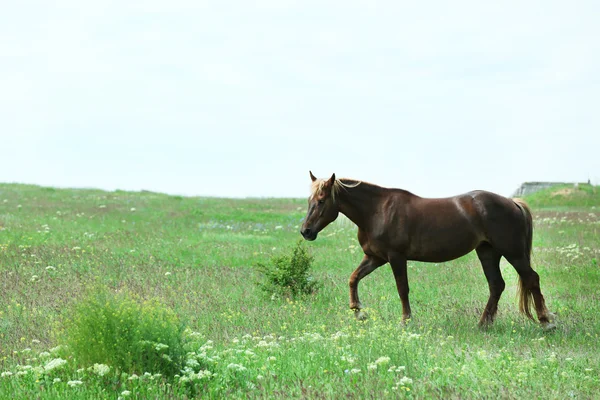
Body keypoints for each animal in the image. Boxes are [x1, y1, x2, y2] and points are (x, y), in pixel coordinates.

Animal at [300, 170, 556, 330]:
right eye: (309, 200)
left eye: (321, 201)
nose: (306, 231)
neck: (377, 211)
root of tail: (513, 202)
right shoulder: (375, 257)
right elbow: (353, 279)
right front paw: (358, 311)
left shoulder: (396, 257)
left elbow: (402, 289)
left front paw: (405, 321)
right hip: (487, 252)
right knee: (496, 285)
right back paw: (483, 324)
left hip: (512, 252)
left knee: (531, 279)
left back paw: (546, 322)